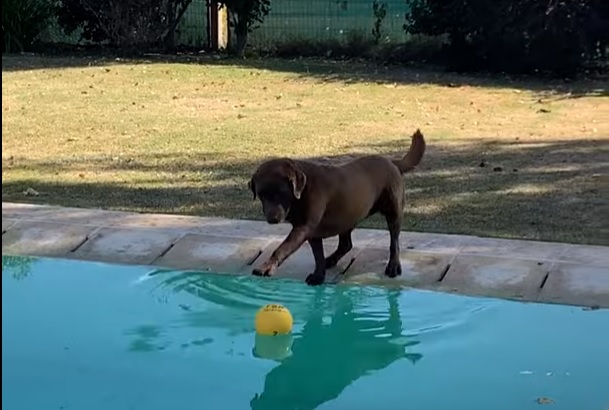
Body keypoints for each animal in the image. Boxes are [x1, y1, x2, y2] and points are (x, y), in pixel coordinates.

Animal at [249, 130, 426, 286]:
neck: (301, 192)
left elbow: (282, 248)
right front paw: (318, 276)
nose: (272, 218)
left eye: (281, 193)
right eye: (261, 194)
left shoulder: (303, 227)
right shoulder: (312, 232)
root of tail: (391, 162)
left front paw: (267, 266)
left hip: (393, 211)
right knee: (346, 244)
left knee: (394, 241)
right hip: (348, 216)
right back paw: (331, 260)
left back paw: (393, 265)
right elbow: (318, 256)